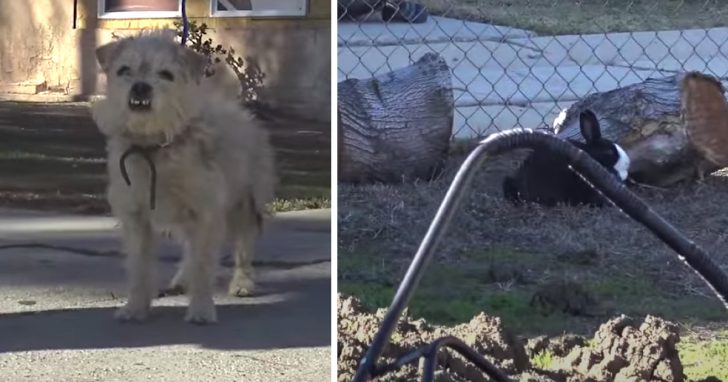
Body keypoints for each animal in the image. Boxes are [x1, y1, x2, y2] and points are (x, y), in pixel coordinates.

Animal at [89, 31, 276, 324]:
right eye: (124, 70)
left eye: (166, 74)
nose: (141, 87)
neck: (155, 146)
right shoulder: (136, 217)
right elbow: (140, 266)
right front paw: (135, 307)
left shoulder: (206, 212)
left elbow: (203, 264)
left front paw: (201, 308)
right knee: (190, 248)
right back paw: (182, 279)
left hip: (245, 203)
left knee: (243, 246)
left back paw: (242, 283)